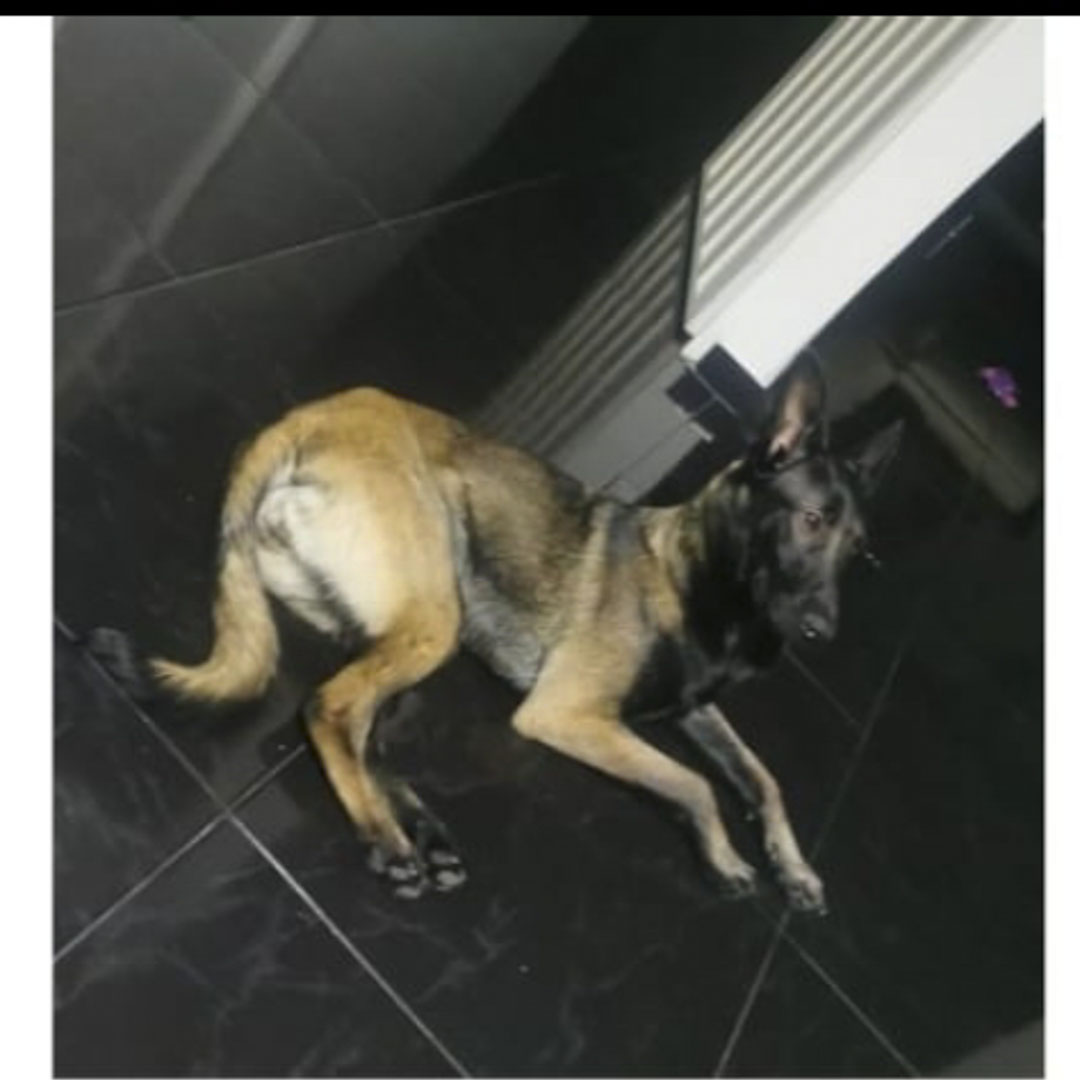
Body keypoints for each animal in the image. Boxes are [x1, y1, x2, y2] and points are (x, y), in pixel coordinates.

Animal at [122, 356, 901, 909]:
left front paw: (793, 867)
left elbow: (762, 778)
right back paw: (387, 839)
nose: (821, 630)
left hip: (410, 625)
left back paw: (422, 832)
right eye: (811, 521)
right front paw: (726, 856)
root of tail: (305, 418)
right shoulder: (566, 714)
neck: (694, 569)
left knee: (365, 729)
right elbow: (695, 783)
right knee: (330, 708)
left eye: (859, 548)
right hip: (436, 612)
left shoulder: (692, 708)